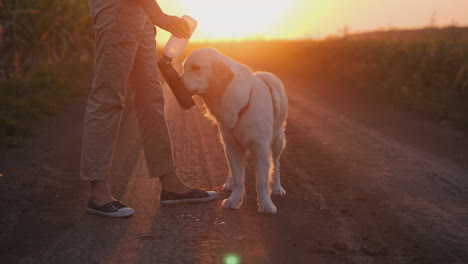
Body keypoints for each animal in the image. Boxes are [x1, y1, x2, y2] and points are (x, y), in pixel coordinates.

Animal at [181, 47, 288, 212]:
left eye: (196, 68)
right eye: (184, 67)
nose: (176, 82)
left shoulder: (261, 147)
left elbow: (262, 181)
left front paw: (266, 204)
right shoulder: (232, 145)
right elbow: (238, 178)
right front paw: (234, 200)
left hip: (277, 140)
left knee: (276, 163)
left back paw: (277, 188)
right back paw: (230, 183)